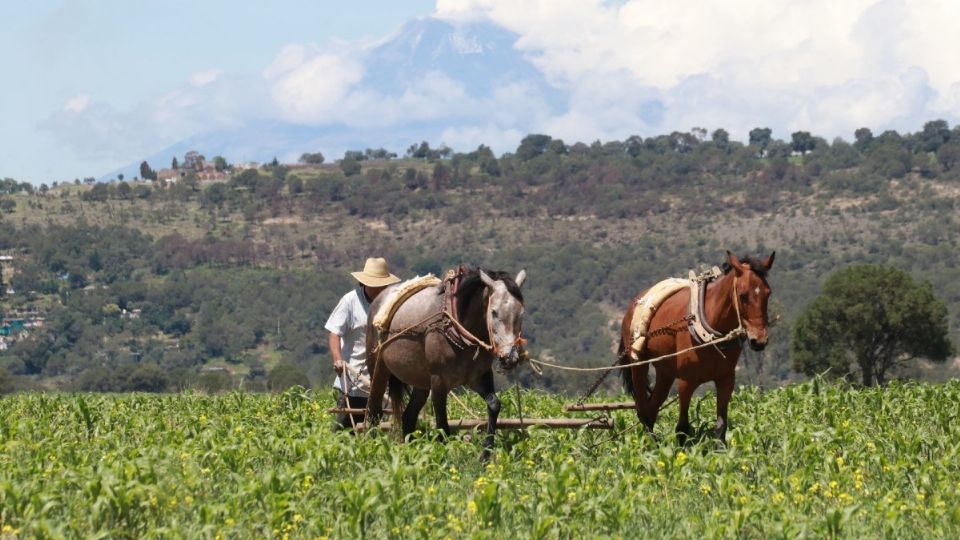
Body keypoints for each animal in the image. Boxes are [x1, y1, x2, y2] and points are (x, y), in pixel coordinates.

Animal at [366, 268, 524, 458]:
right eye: (494, 312)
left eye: (521, 313)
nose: (510, 357)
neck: (459, 327)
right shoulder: (439, 382)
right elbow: (442, 423)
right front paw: (446, 453)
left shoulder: (479, 377)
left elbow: (494, 405)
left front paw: (486, 452)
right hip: (378, 367)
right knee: (374, 411)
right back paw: (372, 447)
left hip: (421, 381)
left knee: (409, 416)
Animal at [624, 252, 772, 442]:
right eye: (743, 295)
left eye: (768, 293)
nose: (759, 340)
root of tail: (633, 305)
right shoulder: (686, 382)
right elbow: (682, 428)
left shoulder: (726, 380)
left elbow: (721, 426)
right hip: (637, 363)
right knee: (643, 409)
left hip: (665, 372)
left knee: (651, 409)